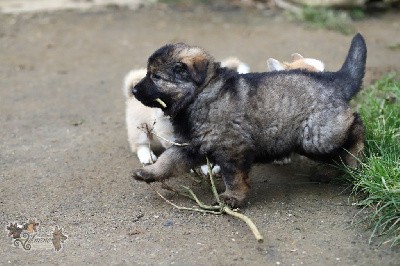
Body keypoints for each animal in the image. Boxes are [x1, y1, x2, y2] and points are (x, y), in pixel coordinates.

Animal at [133, 33, 368, 208]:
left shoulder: (233, 148)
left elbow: (234, 176)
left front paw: (232, 197)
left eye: (156, 77)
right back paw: (332, 170)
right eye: (149, 73)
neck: (202, 93)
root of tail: (331, 80)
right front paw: (149, 172)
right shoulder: (190, 145)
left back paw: (354, 158)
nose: (133, 90)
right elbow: (168, 160)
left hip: (316, 137)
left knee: (355, 127)